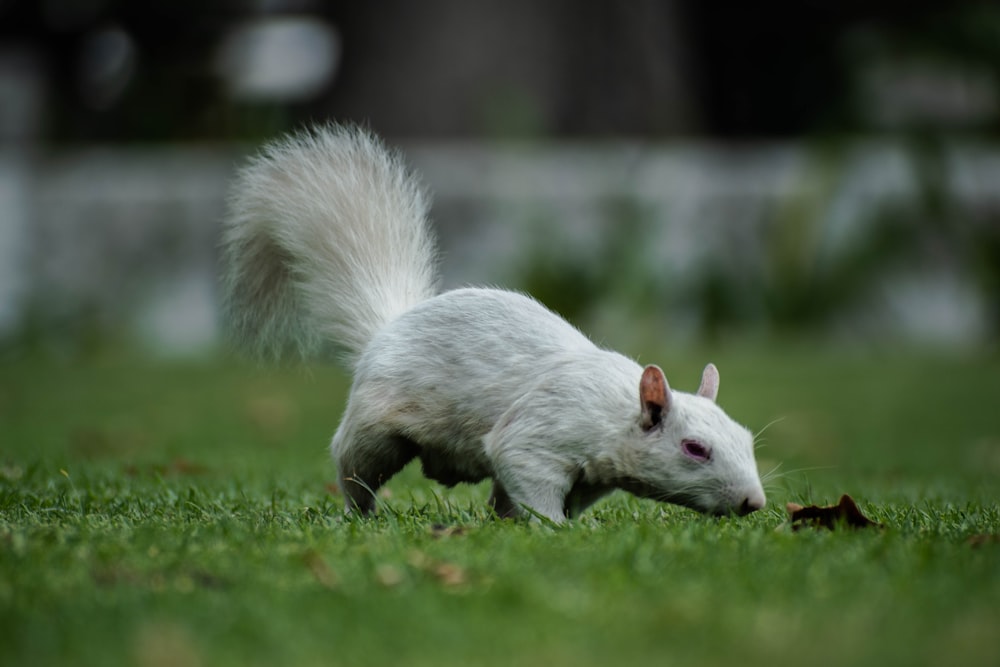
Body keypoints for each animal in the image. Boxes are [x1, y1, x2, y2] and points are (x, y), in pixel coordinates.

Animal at [219, 122, 764, 524]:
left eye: (747, 438)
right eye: (694, 448)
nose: (753, 503)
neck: (613, 411)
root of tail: (388, 327)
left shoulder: (593, 476)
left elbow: (562, 495)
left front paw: (557, 523)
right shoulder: (539, 434)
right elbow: (526, 472)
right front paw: (557, 529)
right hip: (374, 425)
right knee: (355, 466)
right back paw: (361, 514)